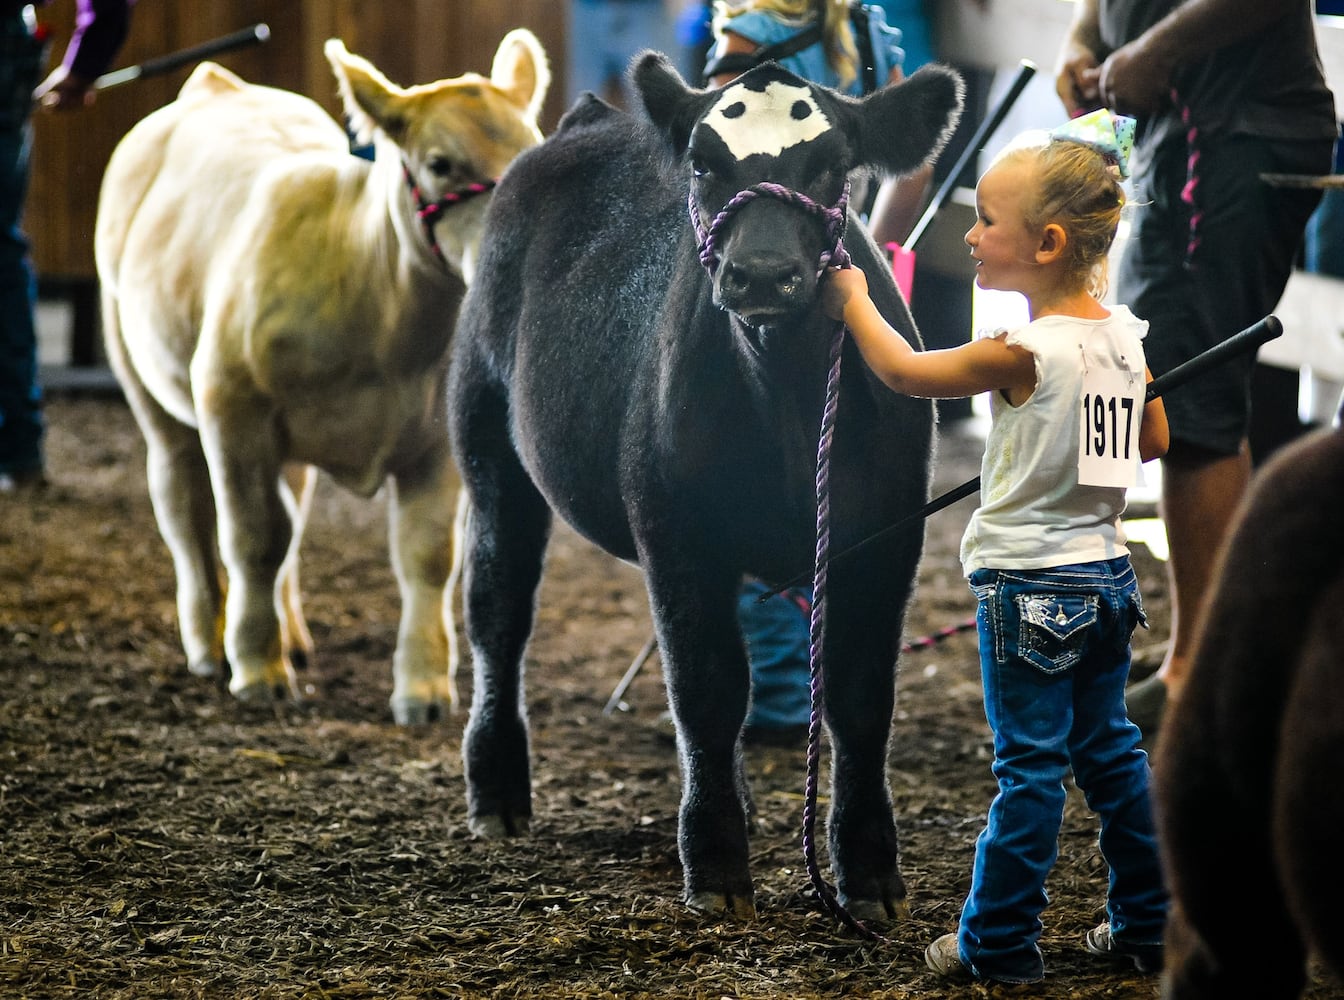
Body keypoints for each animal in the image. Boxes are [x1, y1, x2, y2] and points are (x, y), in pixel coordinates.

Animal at [96, 29, 551, 720]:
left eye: (534, 151)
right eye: (440, 164)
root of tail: (214, 83)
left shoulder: (438, 441)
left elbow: (426, 555)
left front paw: (423, 688)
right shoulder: (233, 407)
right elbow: (252, 537)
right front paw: (257, 669)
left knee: (291, 513)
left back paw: (292, 635)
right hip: (145, 377)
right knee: (184, 506)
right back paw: (208, 642)